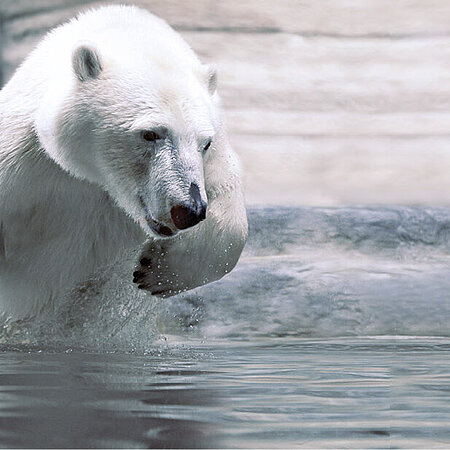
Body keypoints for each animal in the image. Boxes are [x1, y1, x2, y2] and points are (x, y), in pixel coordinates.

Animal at [0, 3, 246, 320]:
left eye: (204, 143)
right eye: (149, 134)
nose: (189, 210)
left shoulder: (212, 163)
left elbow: (231, 216)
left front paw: (157, 271)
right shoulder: (23, 161)